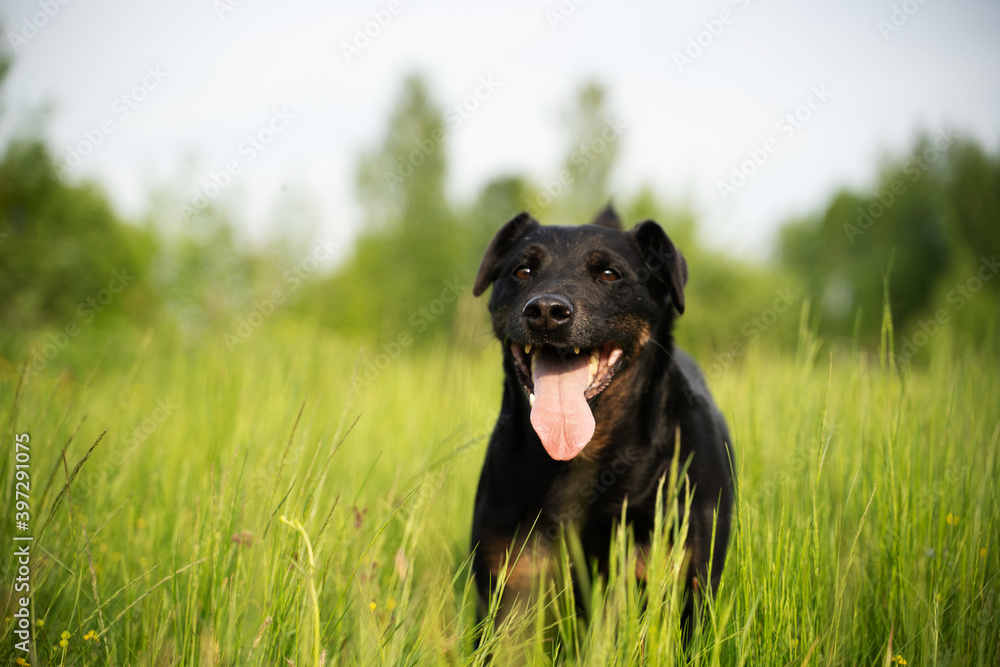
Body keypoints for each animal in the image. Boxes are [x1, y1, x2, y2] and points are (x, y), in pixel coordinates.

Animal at [468, 207, 736, 632]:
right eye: (522, 271)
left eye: (610, 274)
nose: (546, 311)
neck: (583, 458)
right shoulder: (508, 586)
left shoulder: (685, 580)